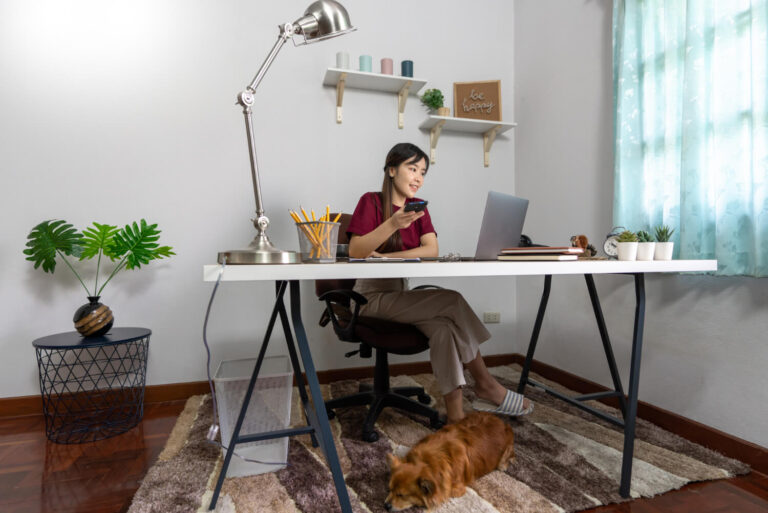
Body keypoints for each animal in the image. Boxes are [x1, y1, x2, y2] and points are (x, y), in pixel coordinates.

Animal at [384, 410, 516, 510]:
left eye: (401, 495)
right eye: (389, 489)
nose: (386, 506)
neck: (427, 462)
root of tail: (502, 422)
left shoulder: (455, 489)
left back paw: (503, 465)